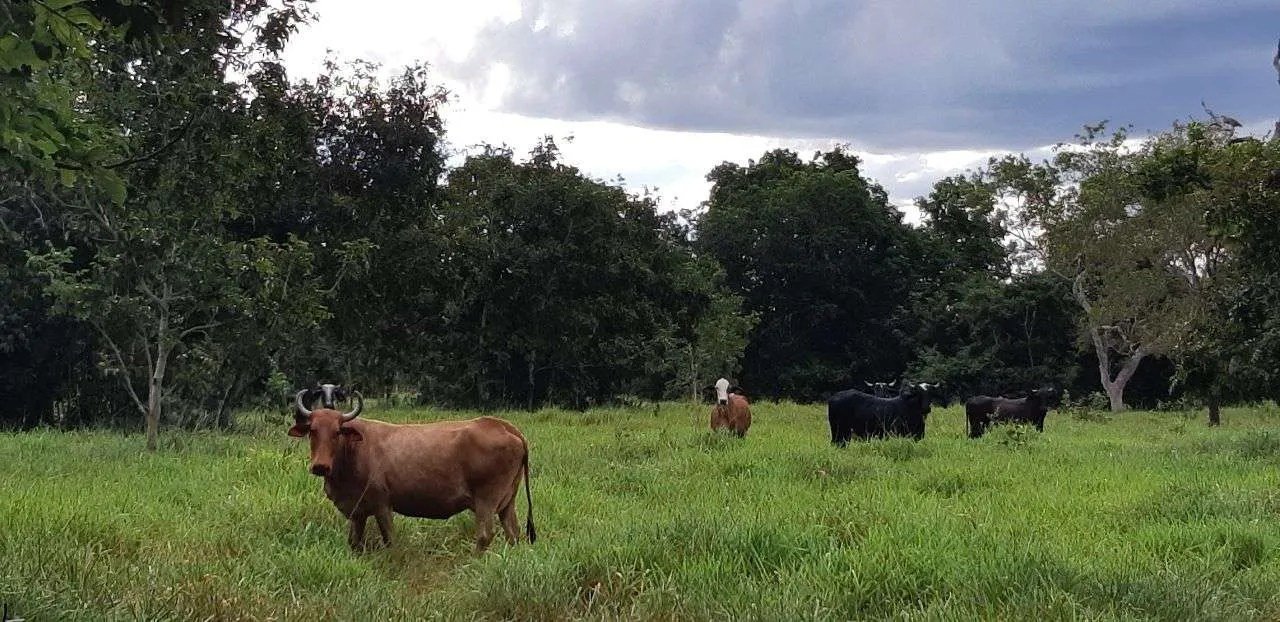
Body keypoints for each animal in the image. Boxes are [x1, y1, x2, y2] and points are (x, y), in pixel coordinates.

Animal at [290, 389, 535, 552]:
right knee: (513, 533)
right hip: (507, 502)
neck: (353, 452)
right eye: (312, 431)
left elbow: (390, 539)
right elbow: (354, 542)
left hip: (486, 500)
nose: (320, 466)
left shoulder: (382, 504)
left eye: (337, 432)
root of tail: (504, 426)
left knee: (485, 535)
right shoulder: (357, 511)